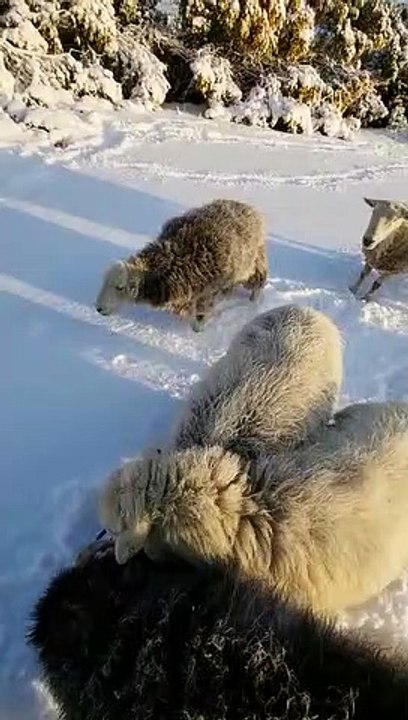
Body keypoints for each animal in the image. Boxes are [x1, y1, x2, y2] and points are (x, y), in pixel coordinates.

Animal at [95, 199, 268, 331]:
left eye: (120, 287)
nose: (99, 309)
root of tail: (246, 206)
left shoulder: (208, 292)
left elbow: (200, 315)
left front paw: (198, 330)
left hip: (256, 262)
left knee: (257, 282)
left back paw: (253, 300)